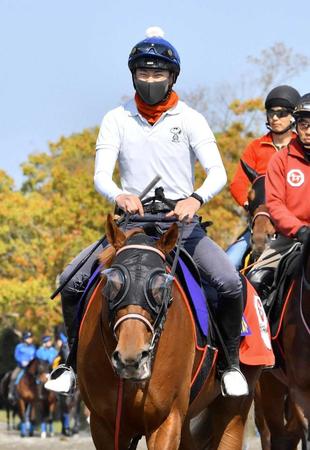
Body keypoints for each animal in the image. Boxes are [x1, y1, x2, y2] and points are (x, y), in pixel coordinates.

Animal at [77, 215, 262, 450]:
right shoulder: (104, 425)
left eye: (161, 287)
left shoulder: (167, 420)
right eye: (112, 284)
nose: (131, 358)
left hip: (234, 407)